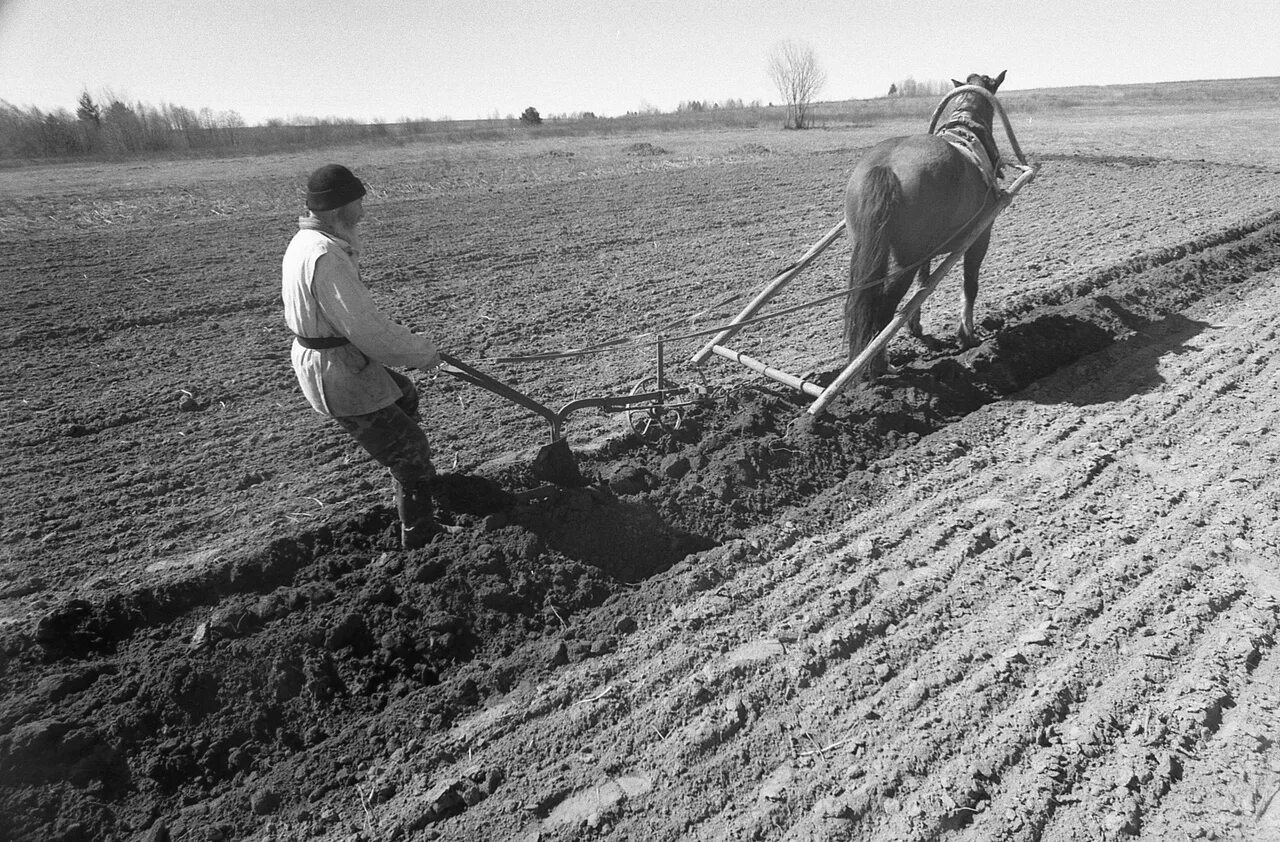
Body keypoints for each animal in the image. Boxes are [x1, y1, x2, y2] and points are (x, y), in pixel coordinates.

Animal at [839, 68, 1008, 376]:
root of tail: (886, 166)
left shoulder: (928, 252)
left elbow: (924, 283)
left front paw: (915, 326)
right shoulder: (980, 236)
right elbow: (970, 285)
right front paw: (967, 335)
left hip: (873, 251)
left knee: (868, 302)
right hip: (905, 259)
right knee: (884, 307)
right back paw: (880, 364)